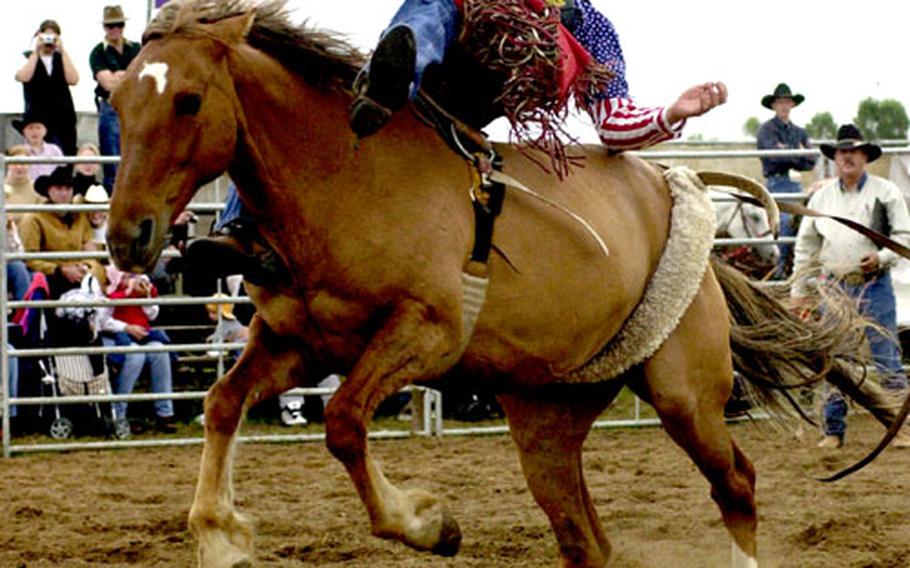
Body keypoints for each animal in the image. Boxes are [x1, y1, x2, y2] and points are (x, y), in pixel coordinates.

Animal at [105, 1, 892, 568]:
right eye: (117, 106)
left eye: (187, 100)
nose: (126, 236)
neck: (342, 175)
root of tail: (689, 213)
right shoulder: (297, 342)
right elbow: (221, 403)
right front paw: (219, 533)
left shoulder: (428, 331)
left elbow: (343, 423)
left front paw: (429, 524)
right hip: (548, 415)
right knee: (586, 538)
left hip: (685, 394)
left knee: (737, 484)